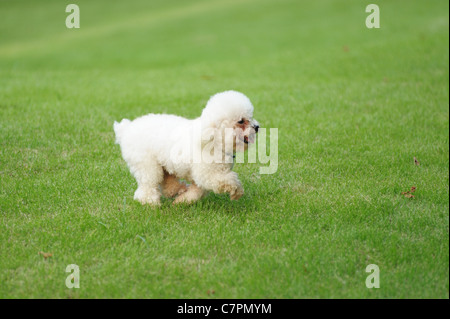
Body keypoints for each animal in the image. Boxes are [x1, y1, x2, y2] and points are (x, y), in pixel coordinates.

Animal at [113, 90, 260, 205]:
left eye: (251, 117)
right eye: (241, 121)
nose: (257, 127)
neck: (213, 140)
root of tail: (126, 129)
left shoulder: (201, 178)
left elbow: (197, 192)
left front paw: (182, 201)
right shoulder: (208, 174)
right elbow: (230, 181)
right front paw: (237, 192)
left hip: (163, 164)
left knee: (167, 181)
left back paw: (178, 190)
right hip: (147, 165)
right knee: (148, 185)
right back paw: (151, 203)